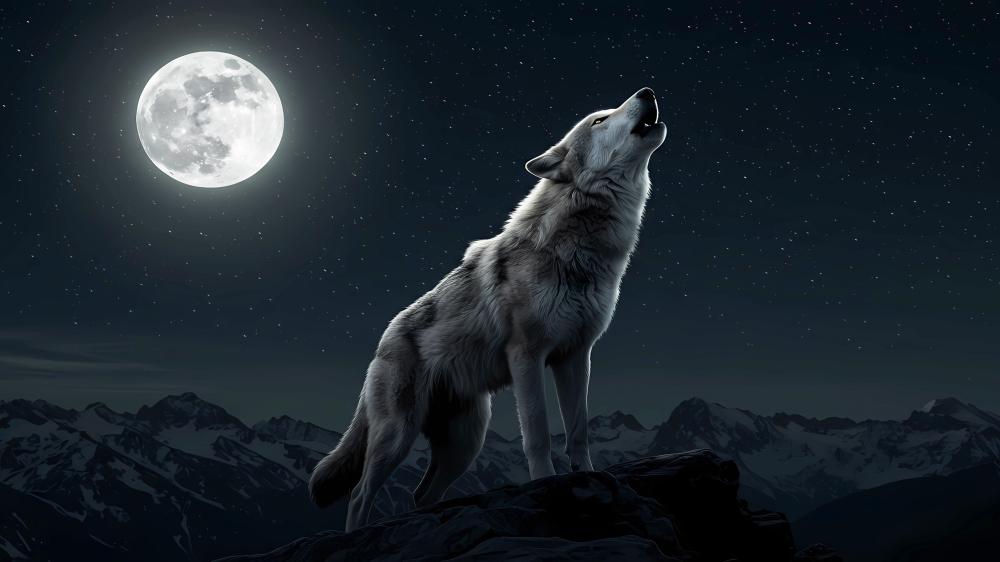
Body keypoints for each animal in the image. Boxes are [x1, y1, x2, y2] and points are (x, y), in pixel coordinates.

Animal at [310, 88, 667, 531]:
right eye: (599, 120)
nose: (647, 91)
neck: (581, 249)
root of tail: (382, 342)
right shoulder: (527, 357)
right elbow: (538, 432)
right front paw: (545, 484)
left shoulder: (575, 356)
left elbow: (578, 428)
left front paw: (587, 475)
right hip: (397, 436)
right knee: (360, 493)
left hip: (466, 443)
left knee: (420, 493)